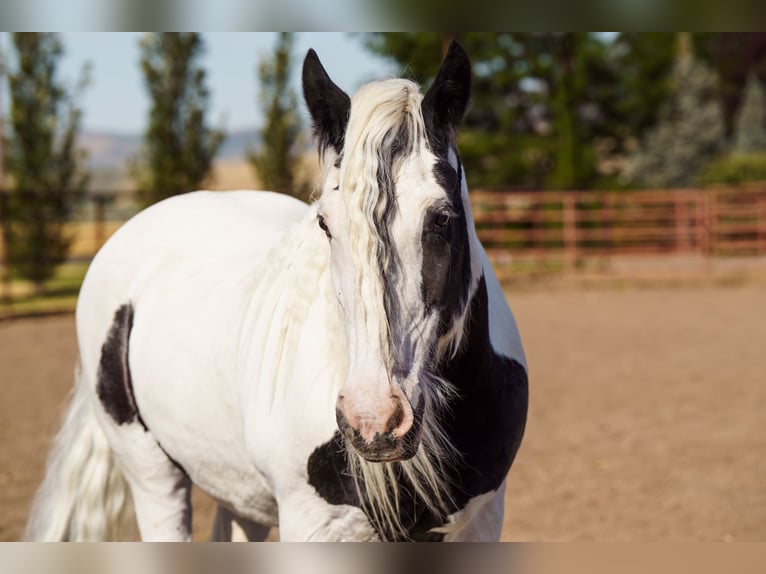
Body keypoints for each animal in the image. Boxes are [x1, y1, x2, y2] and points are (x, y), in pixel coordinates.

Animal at [25, 42, 528, 542]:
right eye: (325, 223)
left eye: (441, 218)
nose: (375, 419)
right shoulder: (314, 524)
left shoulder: (484, 520)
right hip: (152, 475)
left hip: (239, 489)